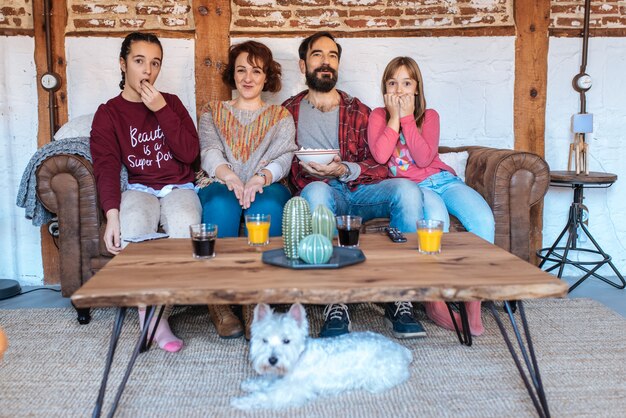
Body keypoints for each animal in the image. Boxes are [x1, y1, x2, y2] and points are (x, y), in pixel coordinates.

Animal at [232, 302, 412, 410]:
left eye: (286, 340)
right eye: (264, 340)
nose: (272, 359)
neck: (299, 357)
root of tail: (401, 349)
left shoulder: (288, 392)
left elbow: (265, 396)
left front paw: (240, 401)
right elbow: (265, 380)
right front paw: (250, 384)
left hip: (378, 376)